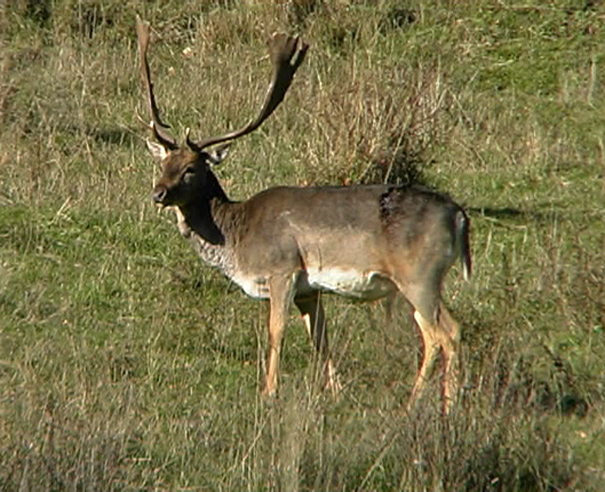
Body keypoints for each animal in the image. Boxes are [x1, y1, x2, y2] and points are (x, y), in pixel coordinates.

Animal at [137, 18, 472, 412]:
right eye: (162, 163)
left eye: (191, 169)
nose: (158, 193)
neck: (236, 238)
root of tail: (459, 216)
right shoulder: (309, 289)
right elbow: (320, 337)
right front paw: (336, 392)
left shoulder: (282, 269)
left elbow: (276, 331)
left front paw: (269, 393)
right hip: (420, 280)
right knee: (437, 332)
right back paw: (429, 402)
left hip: (420, 273)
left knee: (446, 332)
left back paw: (435, 406)